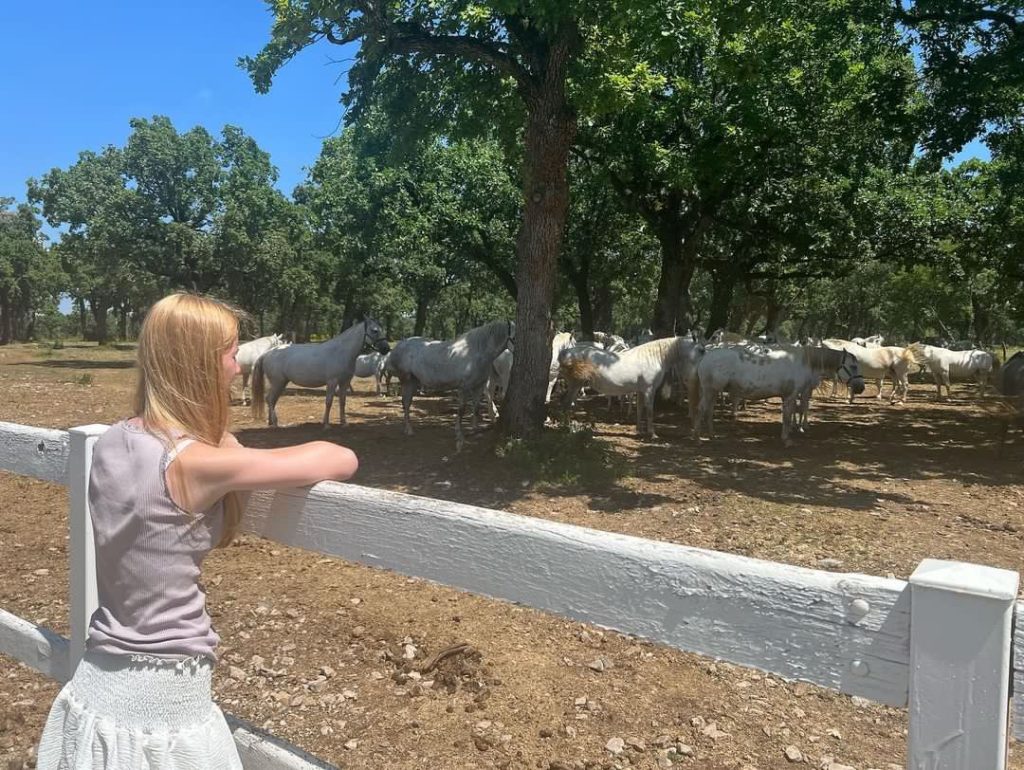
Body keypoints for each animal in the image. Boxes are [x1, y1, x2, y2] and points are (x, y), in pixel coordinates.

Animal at [561, 335, 704, 438]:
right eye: (701, 350)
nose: (701, 367)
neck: (654, 357)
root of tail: (566, 352)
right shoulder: (649, 390)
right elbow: (650, 411)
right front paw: (652, 434)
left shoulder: (641, 391)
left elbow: (640, 409)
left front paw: (639, 430)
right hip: (575, 384)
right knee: (566, 404)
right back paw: (568, 429)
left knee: (567, 404)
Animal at [696, 344, 864, 444]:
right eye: (853, 366)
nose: (860, 388)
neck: (804, 362)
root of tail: (706, 357)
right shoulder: (791, 395)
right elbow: (789, 416)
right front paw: (787, 438)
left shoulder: (790, 396)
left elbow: (791, 414)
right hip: (710, 390)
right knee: (702, 410)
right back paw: (698, 437)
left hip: (712, 391)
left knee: (708, 411)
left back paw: (711, 435)